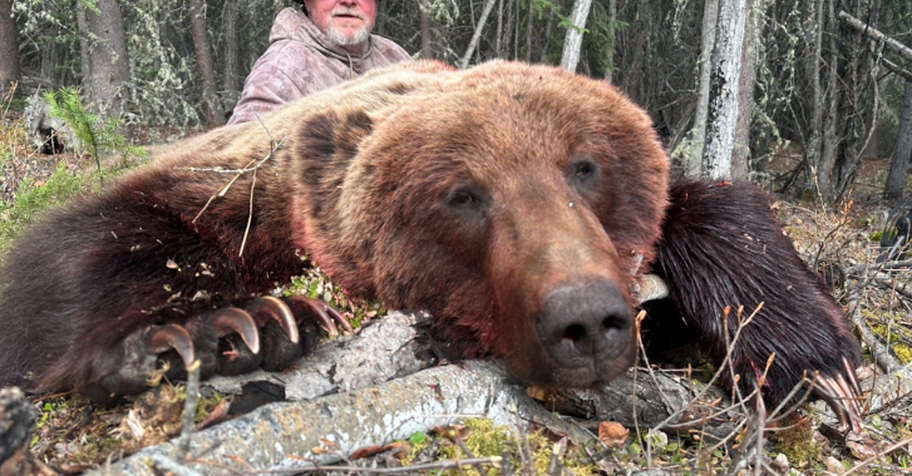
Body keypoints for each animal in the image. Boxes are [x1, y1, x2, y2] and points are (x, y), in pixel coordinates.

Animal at [0, 61, 861, 430]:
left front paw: (814, 363)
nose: (588, 320)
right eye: (462, 195)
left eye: (585, 166)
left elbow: (721, 208)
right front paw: (214, 329)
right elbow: (80, 249)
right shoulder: (244, 185)